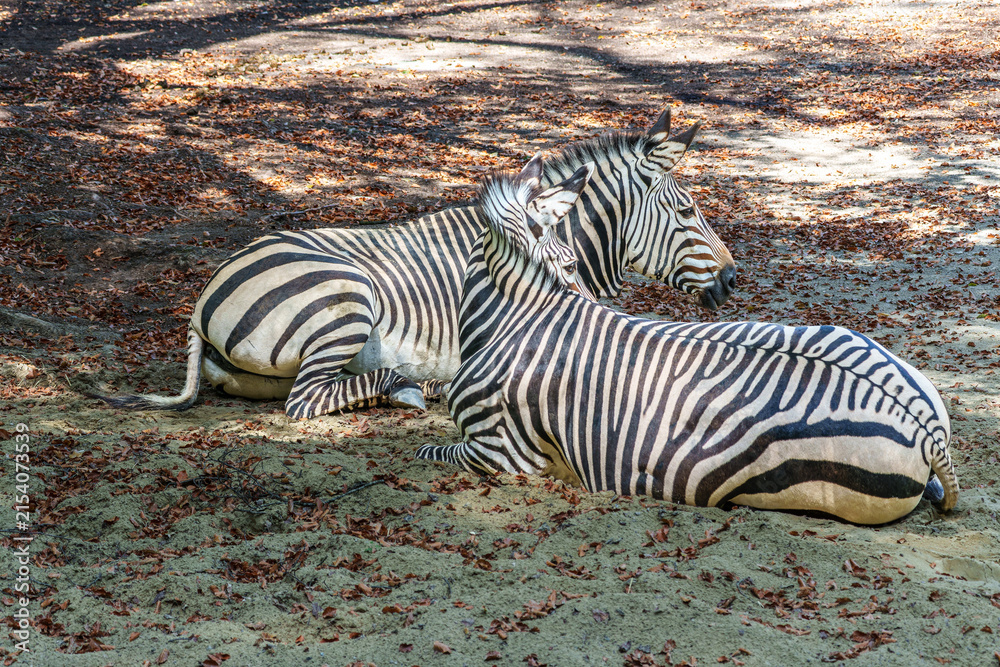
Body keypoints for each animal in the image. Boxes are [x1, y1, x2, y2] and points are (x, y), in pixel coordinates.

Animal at [98, 109, 737, 419]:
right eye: (687, 210)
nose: (733, 278)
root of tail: (204, 295)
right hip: (347, 295)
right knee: (306, 402)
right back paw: (412, 387)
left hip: (255, 369)